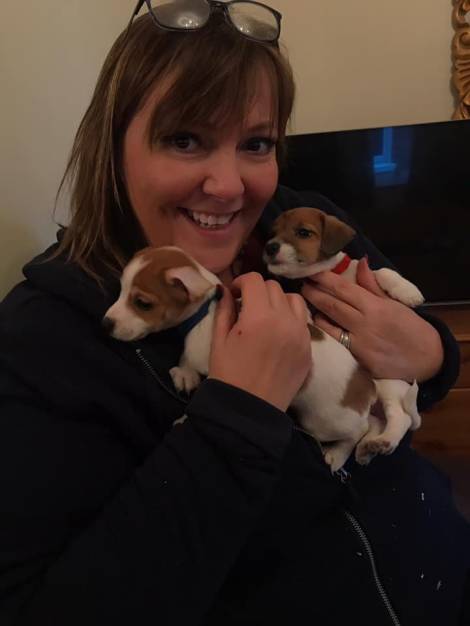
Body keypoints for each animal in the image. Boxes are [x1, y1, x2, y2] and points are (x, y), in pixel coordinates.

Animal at [103, 243, 407, 471]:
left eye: (142, 303)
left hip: (323, 421)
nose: (106, 324)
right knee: (373, 423)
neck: (205, 311)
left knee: (358, 430)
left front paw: (184, 404)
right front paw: (184, 374)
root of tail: (368, 386)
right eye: (120, 291)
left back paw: (340, 453)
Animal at [263, 206, 423, 466]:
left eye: (303, 232)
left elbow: (383, 271)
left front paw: (408, 291)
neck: (330, 273)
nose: (270, 247)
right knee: (381, 422)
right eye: (273, 233)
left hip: (388, 385)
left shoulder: (364, 272)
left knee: (399, 417)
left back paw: (376, 444)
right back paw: (365, 448)